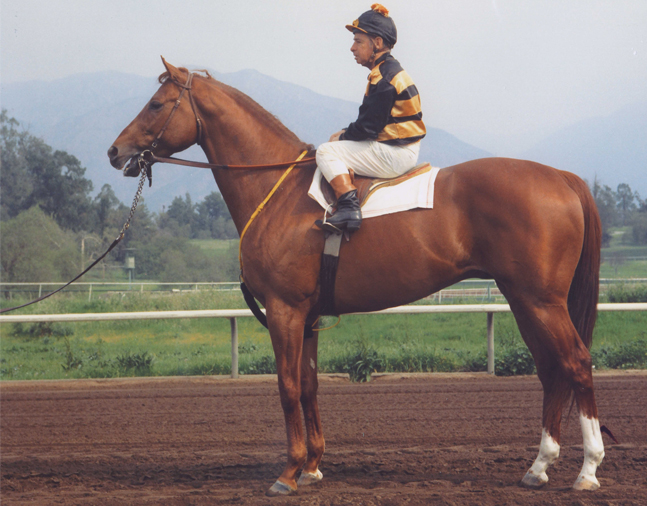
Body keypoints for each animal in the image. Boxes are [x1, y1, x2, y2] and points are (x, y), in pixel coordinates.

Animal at [110, 58, 608, 494]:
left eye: (156, 103)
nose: (115, 151)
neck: (280, 192)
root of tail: (563, 178)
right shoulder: (308, 316)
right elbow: (309, 385)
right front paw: (312, 466)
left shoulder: (285, 311)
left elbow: (287, 386)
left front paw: (288, 474)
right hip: (524, 300)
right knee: (551, 369)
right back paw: (538, 467)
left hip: (540, 301)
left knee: (577, 363)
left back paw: (587, 471)